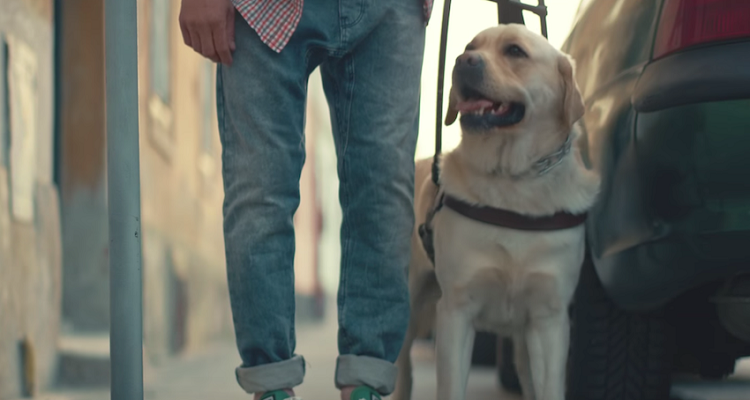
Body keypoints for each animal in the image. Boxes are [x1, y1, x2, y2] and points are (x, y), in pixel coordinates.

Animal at [396, 24, 604, 400]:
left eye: (515, 51)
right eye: (469, 47)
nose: (462, 61)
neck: (513, 183)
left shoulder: (549, 319)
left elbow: (550, 387)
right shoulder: (456, 310)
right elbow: (451, 387)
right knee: (401, 371)